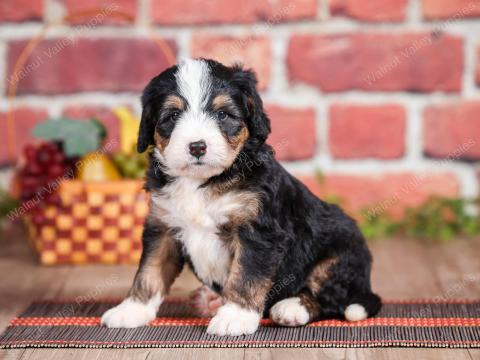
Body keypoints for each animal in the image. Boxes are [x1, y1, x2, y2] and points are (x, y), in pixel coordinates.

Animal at [102, 57, 382, 336]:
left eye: (223, 114)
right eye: (172, 116)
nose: (197, 147)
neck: (203, 181)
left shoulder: (257, 232)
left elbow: (246, 275)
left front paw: (234, 317)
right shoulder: (163, 227)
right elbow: (150, 271)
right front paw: (131, 310)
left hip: (340, 253)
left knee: (331, 299)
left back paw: (291, 308)